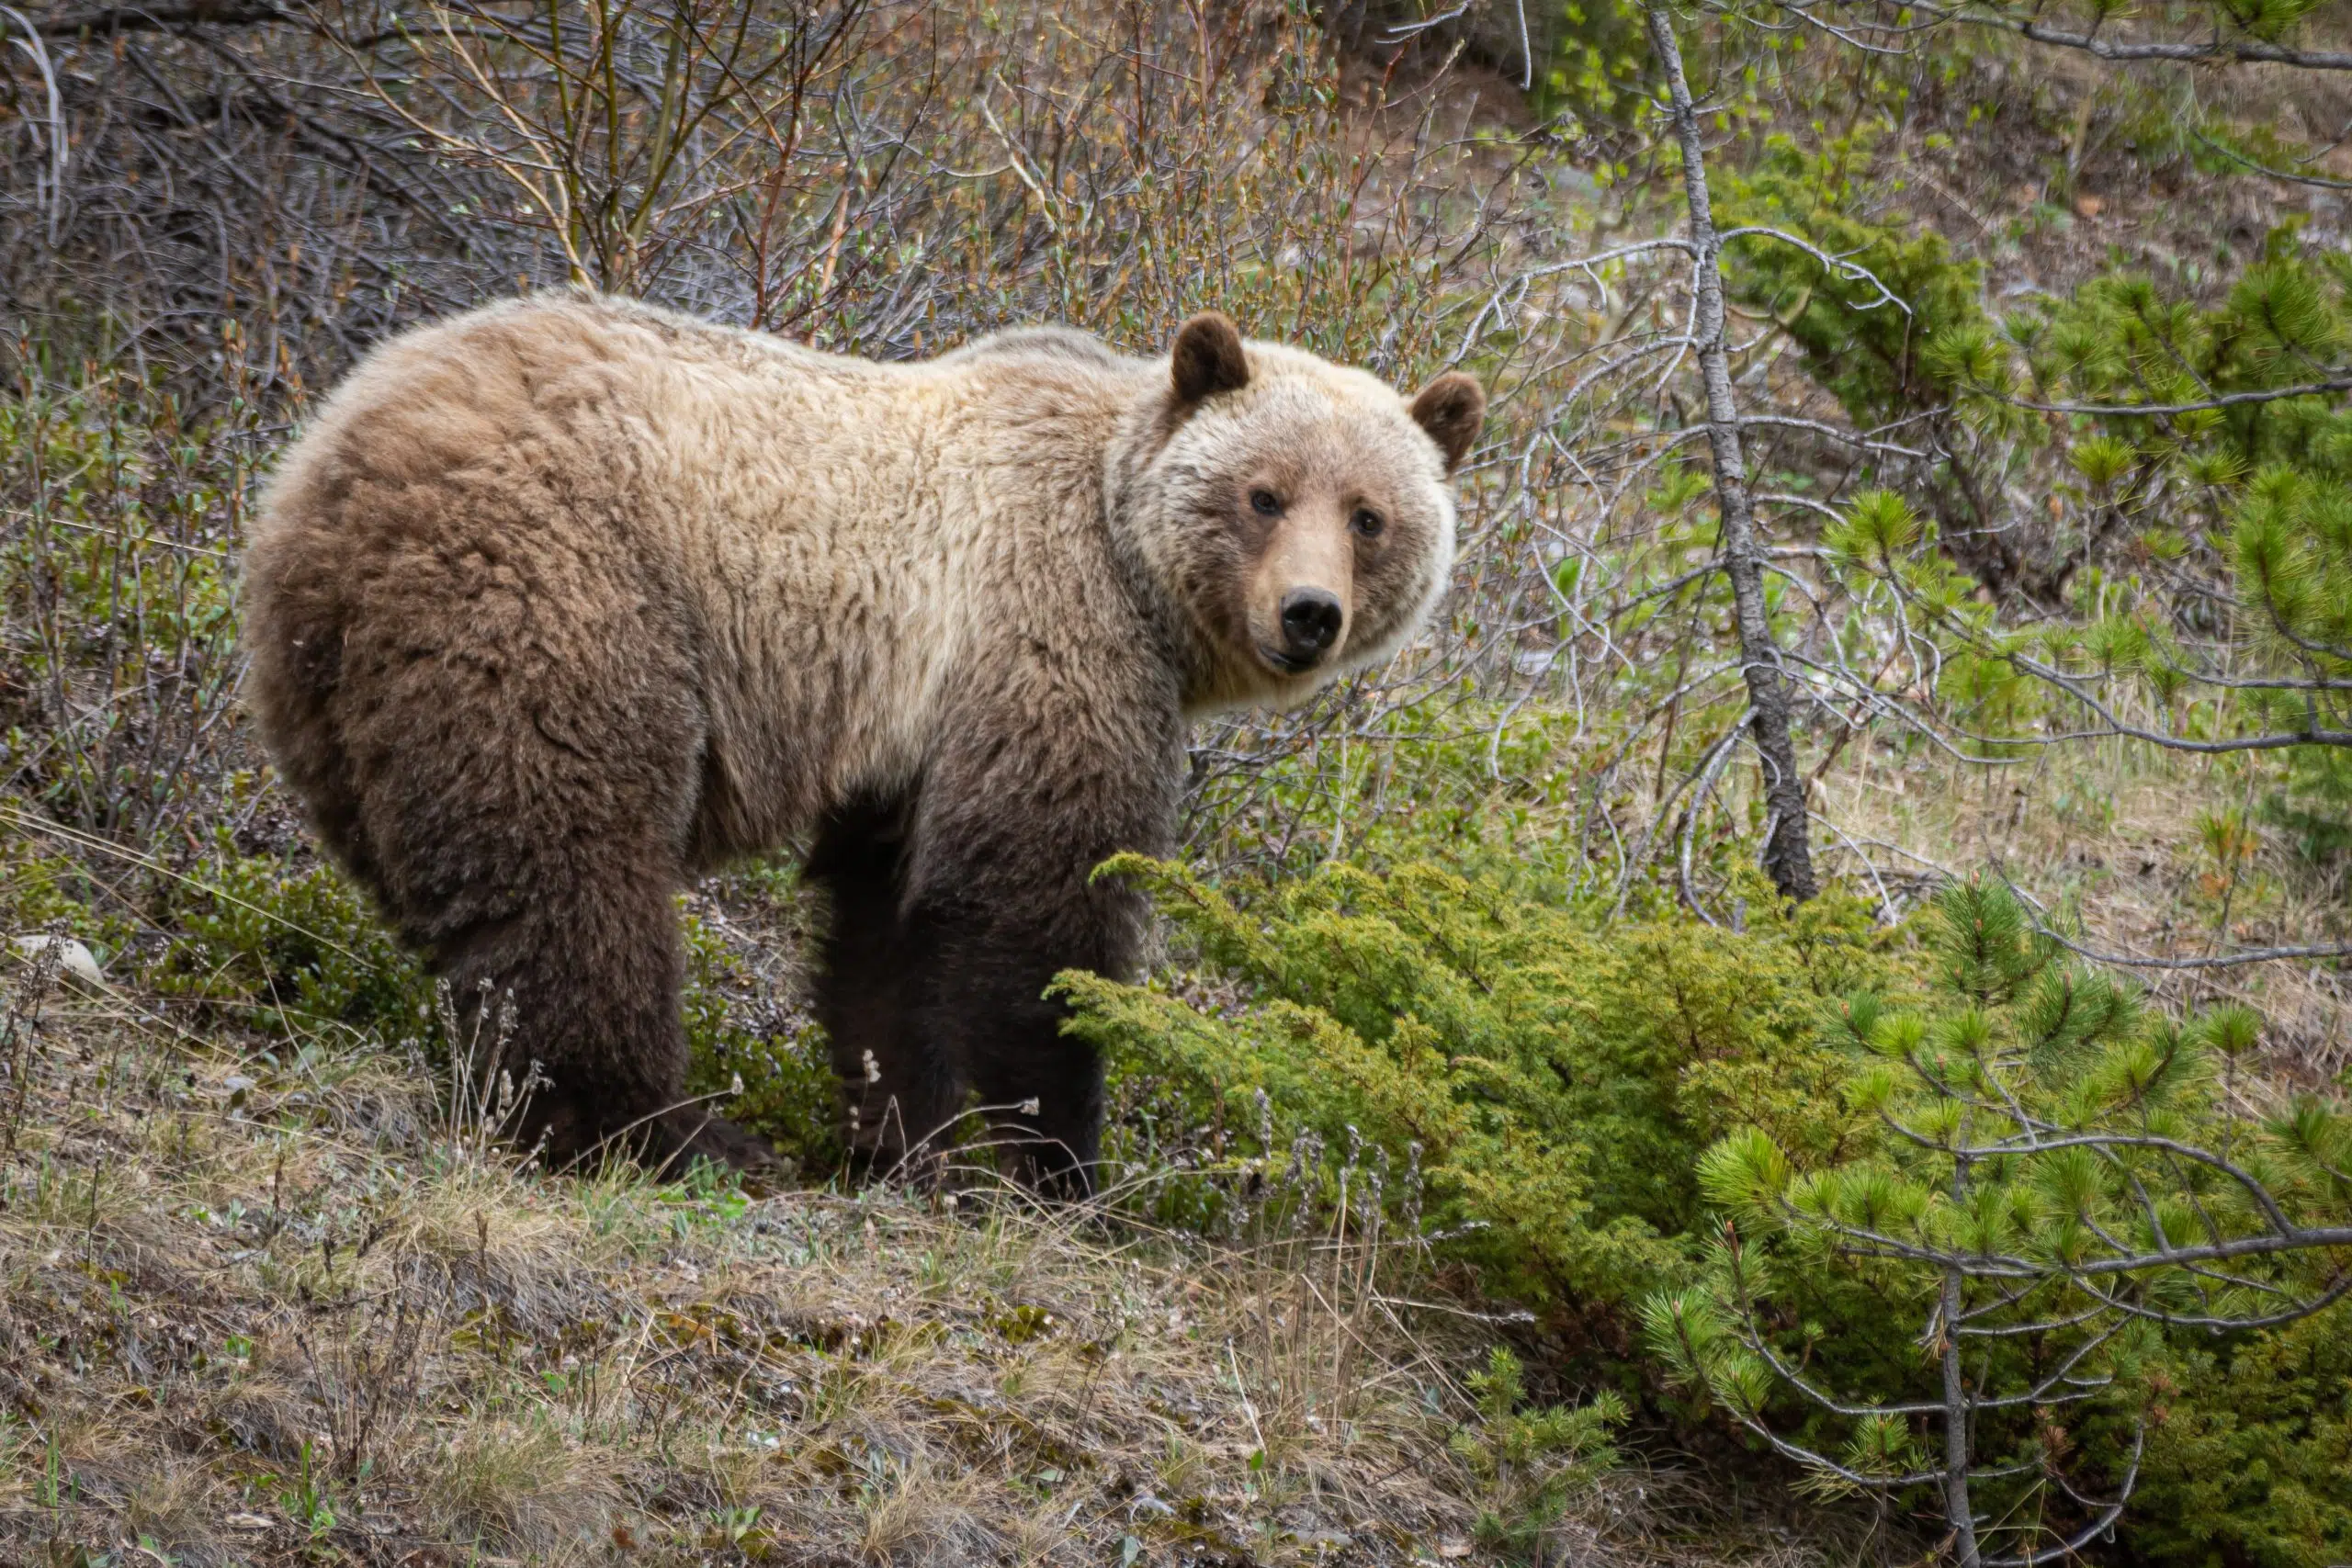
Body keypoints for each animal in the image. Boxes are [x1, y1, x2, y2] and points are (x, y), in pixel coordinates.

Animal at [243, 293, 1486, 1189]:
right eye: (1264, 495)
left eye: (1370, 515)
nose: (1309, 614)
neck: (1130, 566)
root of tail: (331, 451)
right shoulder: (1043, 633)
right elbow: (1035, 911)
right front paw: (1059, 1159)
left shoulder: (912, 736)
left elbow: (889, 929)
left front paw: (906, 1136)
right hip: (563, 587)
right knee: (572, 868)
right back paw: (668, 1133)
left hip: (333, 689)